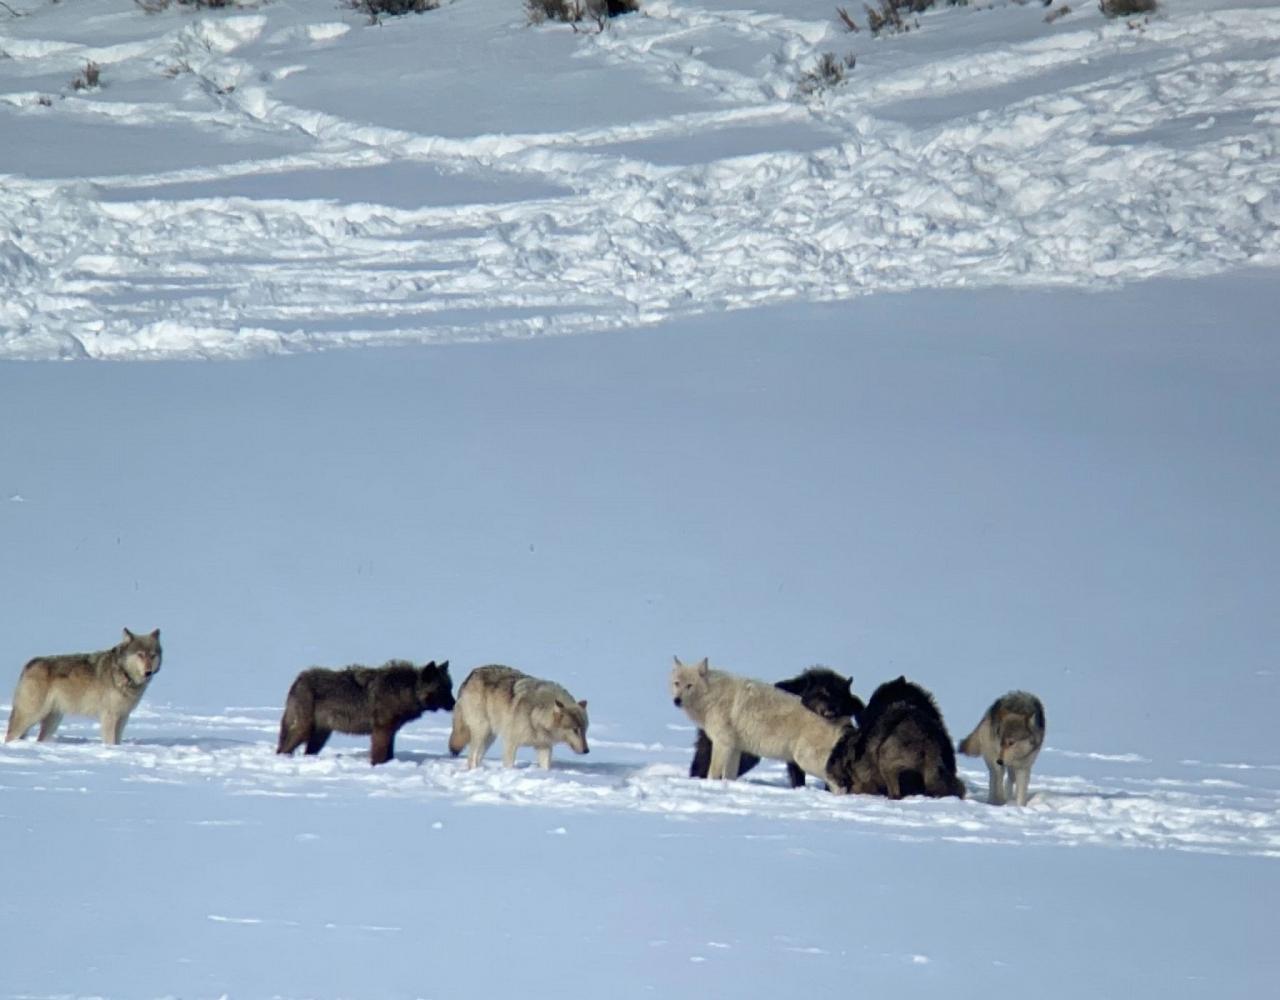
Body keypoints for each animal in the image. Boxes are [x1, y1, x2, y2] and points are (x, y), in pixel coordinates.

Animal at [5, 627, 165, 742]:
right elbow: (110, 741)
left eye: (152, 655)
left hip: (53, 721)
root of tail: (30, 663)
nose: (148, 672)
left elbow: (117, 741)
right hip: (31, 716)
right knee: (10, 736)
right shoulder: (109, 716)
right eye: (140, 655)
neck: (124, 674)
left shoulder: (123, 716)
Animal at [445, 665, 588, 768]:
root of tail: (470, 675)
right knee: (471, 759)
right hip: (482, 732)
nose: (587, 751)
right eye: (575, 730)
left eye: (584, 730)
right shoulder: (511, 743)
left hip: (489, 737)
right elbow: (509, 765)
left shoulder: (544, 746)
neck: (535, 714)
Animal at [670, 655, 849, 788]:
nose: (676, 700)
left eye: (689, 685)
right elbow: (728, 776)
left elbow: (713, 774)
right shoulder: (735, 748)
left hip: (805, 761)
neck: (713, 696)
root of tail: (840, 721)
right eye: (677, 683)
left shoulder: (723, 744)